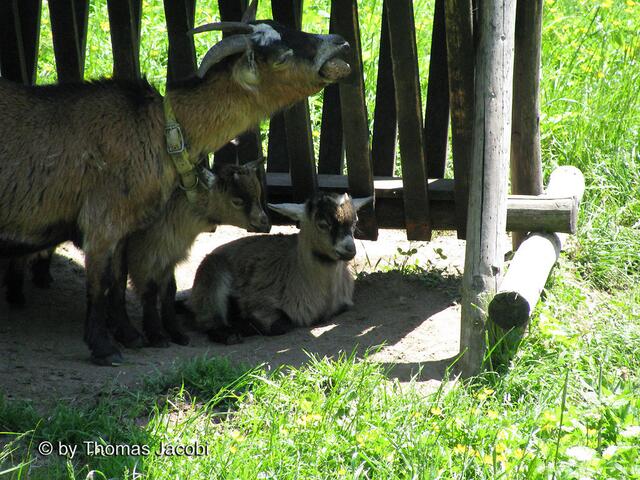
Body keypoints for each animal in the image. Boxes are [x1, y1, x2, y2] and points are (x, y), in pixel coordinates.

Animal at [0, 0, 351, 365]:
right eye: (281, 56)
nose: (339, 43)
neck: (158, 128)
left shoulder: (127, 228)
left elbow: (118, 281)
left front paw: (131, 335)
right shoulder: (103, 221)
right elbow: (99, 284)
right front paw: (105, 348)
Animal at [187, 192, 372, 344]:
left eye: (355, 222)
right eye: (322, 224)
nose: (350, 249)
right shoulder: (260, 302)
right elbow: (281, 324)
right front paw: (244, 322)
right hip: (212, 275)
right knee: (208, 321)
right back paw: (231, 334)